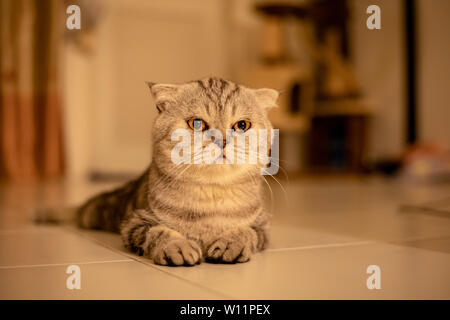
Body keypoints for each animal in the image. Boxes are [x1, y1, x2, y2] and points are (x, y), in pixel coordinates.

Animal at [75, 77, 278, 264]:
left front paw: (231, 244)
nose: (222, 141)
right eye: (197, 123)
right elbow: (158, 232)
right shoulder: (134, 224)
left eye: (242, 125)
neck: (211, 198)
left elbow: (247, 232)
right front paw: (178, 246)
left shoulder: (263, 226)